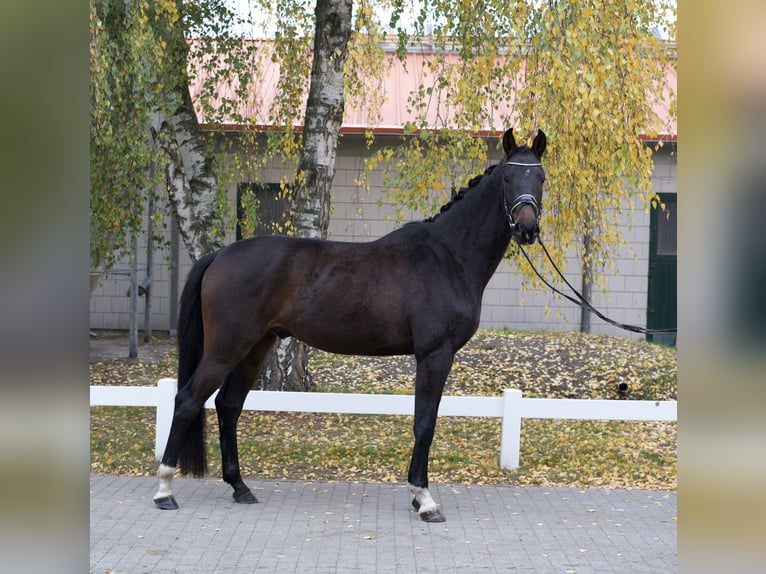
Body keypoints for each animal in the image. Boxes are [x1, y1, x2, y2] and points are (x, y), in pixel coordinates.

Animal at [153, 128, 544, 524]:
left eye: (541, 178)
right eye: (508, 177)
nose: (527, 229)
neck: (448, 256)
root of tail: (220, 255)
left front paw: (418, 496)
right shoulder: (435, 354)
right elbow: (425, 423)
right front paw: (424, 499)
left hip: (255, 347)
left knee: (228, 405)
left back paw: (240, 486)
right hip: (226, 348)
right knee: (187, 400)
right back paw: (165, 490)